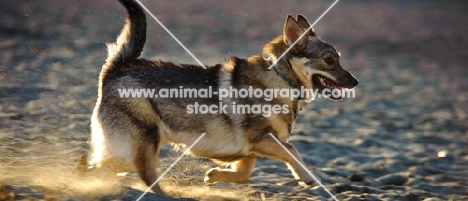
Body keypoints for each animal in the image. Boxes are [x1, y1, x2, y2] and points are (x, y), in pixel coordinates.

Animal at [77, 0, 358, 195]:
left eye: (339, 58)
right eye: (329, 60)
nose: (355, 82)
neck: (281, 78)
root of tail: (118, 66)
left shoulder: (250, 151)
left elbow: (243, 174)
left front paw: (213, 175)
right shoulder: (262, 140)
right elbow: (293, 151)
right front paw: (307, 177)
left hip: (129, 150)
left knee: (95, 166)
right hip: (140, 144)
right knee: (131, 175)